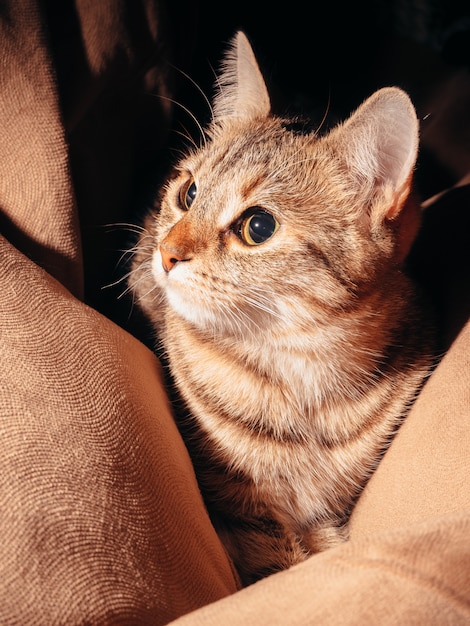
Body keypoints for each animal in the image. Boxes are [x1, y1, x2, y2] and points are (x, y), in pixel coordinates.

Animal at [127, 30, 434, 584]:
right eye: (189, 192)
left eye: (258, 226)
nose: (166, 253)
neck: (300, 372)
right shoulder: (239, 502)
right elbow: (276, 558)